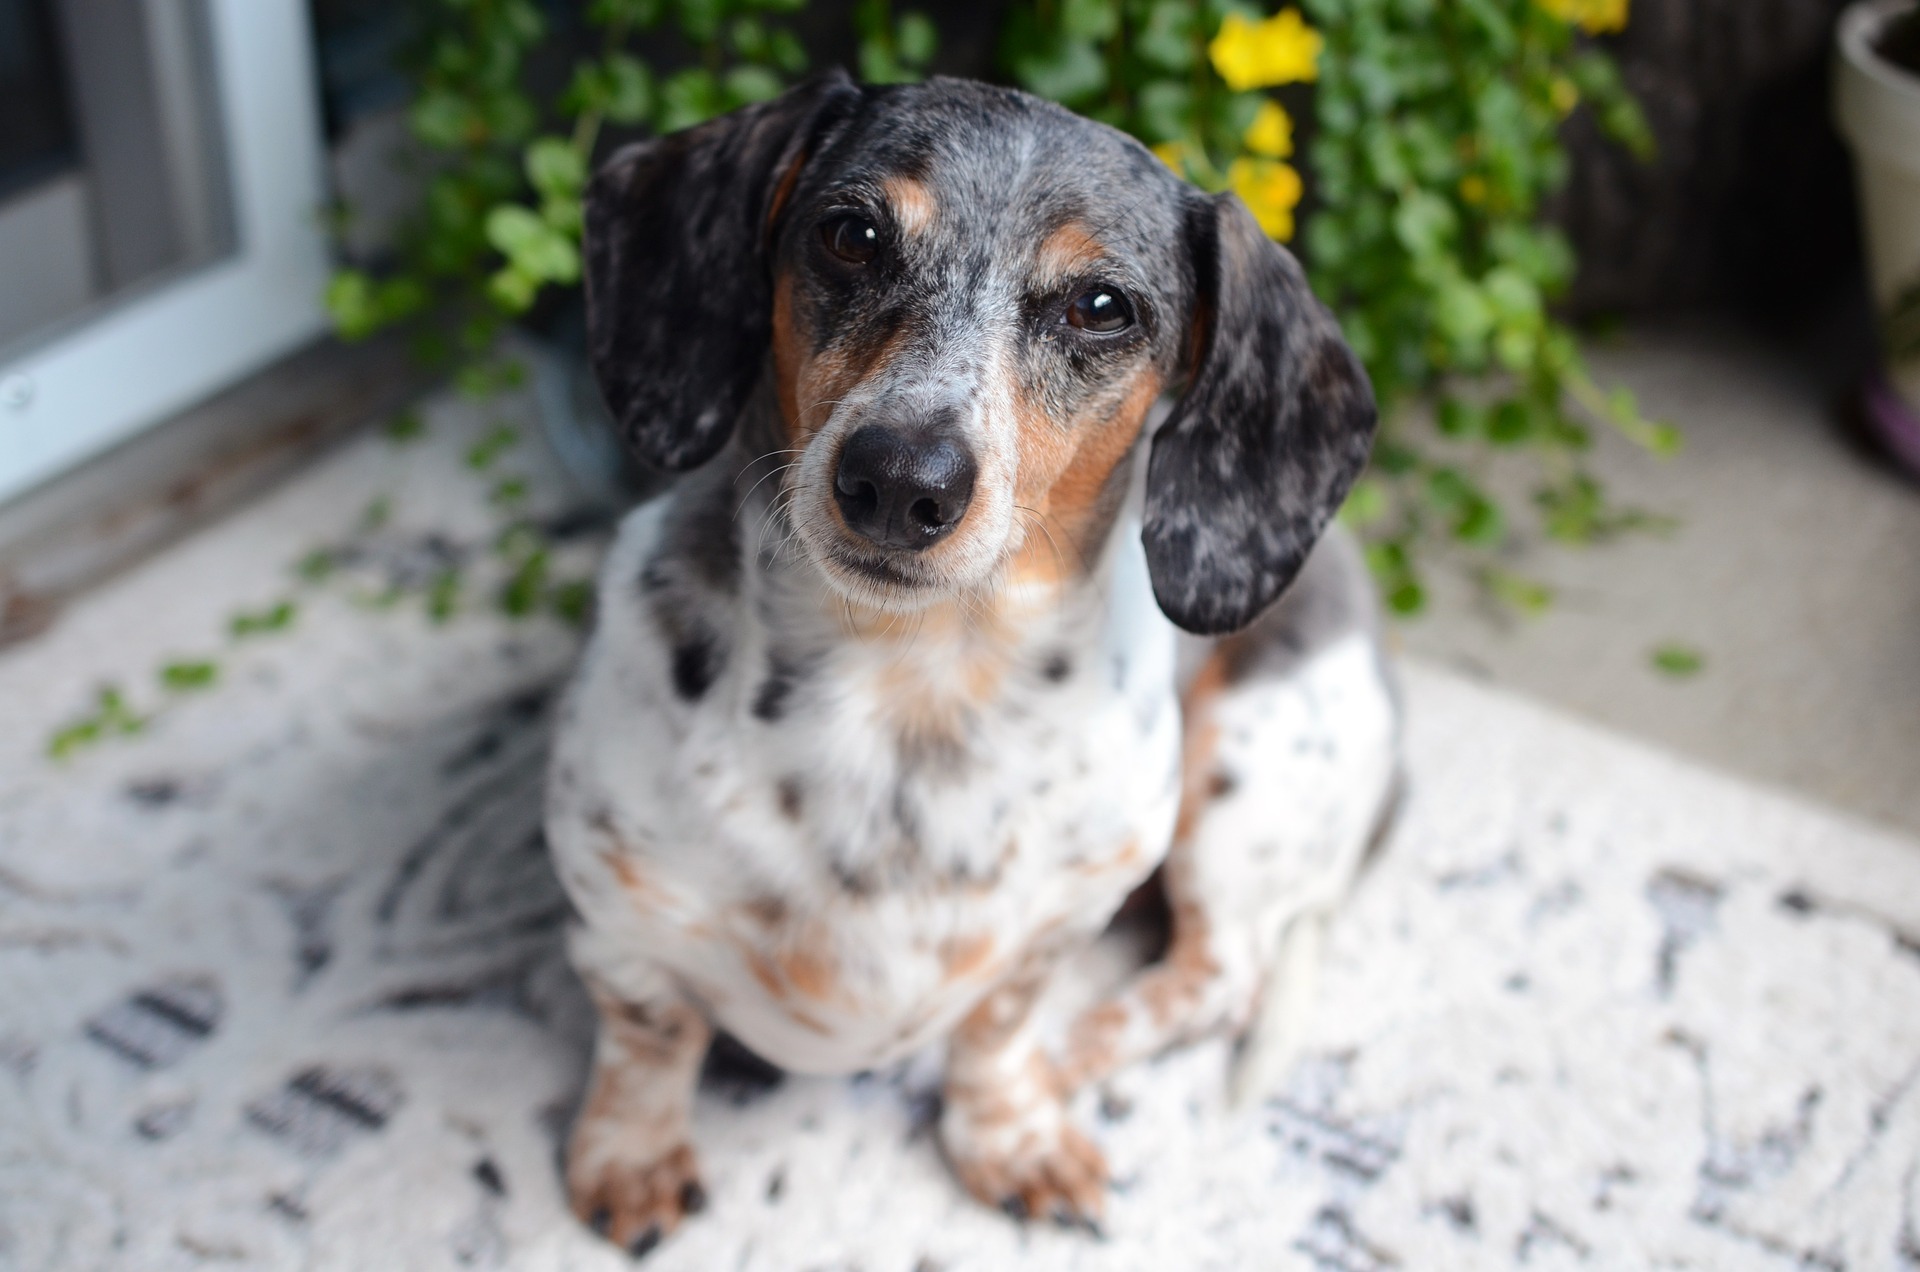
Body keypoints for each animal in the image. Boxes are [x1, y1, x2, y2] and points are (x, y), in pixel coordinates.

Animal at [541, 74, 1397, 1260]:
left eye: (1102, 306)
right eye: (850, 234)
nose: (902, 480)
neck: (907, 692)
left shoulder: (1063, 921)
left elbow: (997, 1031)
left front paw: (1013, 1132)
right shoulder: (613, 914)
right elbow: (649, 1037)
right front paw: (631, 1155)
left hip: (1244, 780)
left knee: (1219, 974)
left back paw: (1076, 1056)